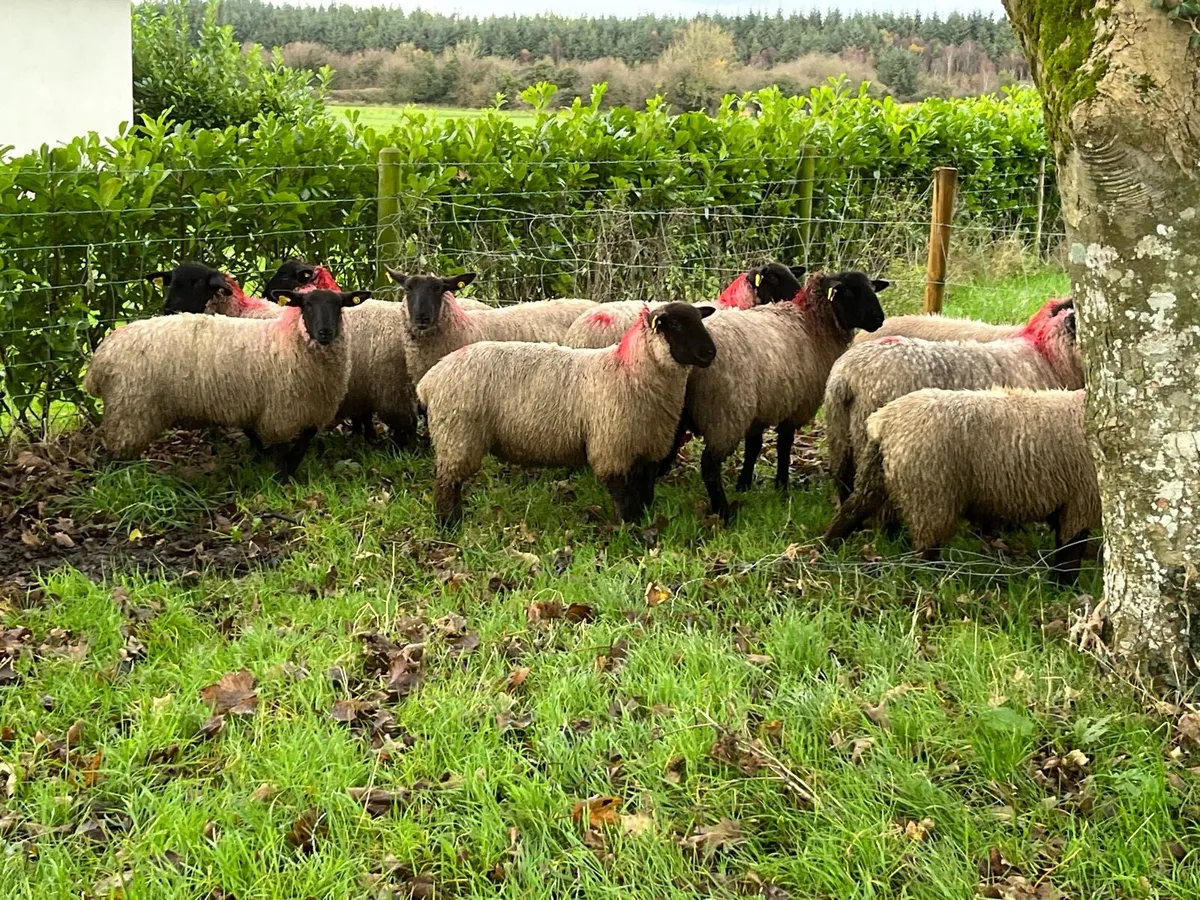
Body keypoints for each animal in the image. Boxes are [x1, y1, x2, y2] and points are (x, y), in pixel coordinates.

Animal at [84, 288, 371, 478]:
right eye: (306, 305)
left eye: (339, 306)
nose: (325, 332)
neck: (289, 341)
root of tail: (100, 358)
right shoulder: (280, 414)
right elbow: (282, 452)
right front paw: (282, 480)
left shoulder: (312, 411)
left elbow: (299, 449)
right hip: (130, 411)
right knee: (117, 453)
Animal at [416, 303, 717, 526]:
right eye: (675, 325)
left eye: (699, 321)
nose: (710, 353)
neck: (628, 371)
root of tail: (430, 378)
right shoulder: (612, 448)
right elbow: (622, 494)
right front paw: (630, 528)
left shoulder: (649, 446)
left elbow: (644, 489)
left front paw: (644, 518)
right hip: (457, 436)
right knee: (447, 484)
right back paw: (449, 525)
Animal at [678, 270, 889, 520]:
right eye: (847, 291)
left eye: (871, 288)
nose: (879, 318)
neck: (811, 324)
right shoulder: (795, 404)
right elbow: (784, 446)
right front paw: (781, 485)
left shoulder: (761, 409)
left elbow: (753, 448)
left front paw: (744, 484)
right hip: (725, 411)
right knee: (709, 465)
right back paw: (724, 512)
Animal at [822, 387, 1098, 585]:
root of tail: (884, 421)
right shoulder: (1080, 500)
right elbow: (1070, 550)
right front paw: (1065, 588)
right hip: (930, 493)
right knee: (926, 549)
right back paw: (936, 580)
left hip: (875, 472)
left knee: (851, 511)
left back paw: (825, 549)